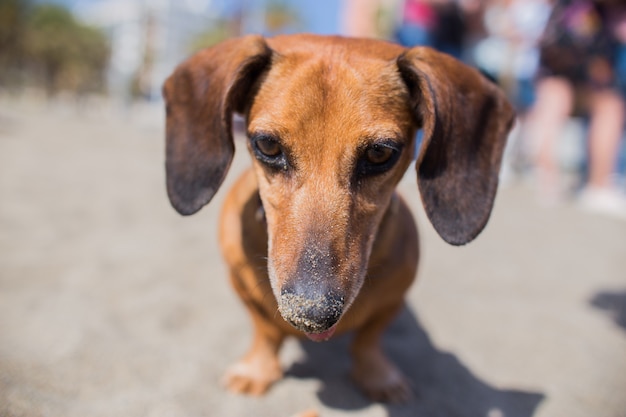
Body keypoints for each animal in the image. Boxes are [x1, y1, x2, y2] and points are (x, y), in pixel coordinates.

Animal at [163, 34, 516, 402]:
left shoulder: (395, 297)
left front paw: (378, 376)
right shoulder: (241, 283)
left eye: (380, 153)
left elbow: (369, 339)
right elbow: (265, 331)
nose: (310, 313)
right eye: (268, 146)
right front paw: (257, 370)